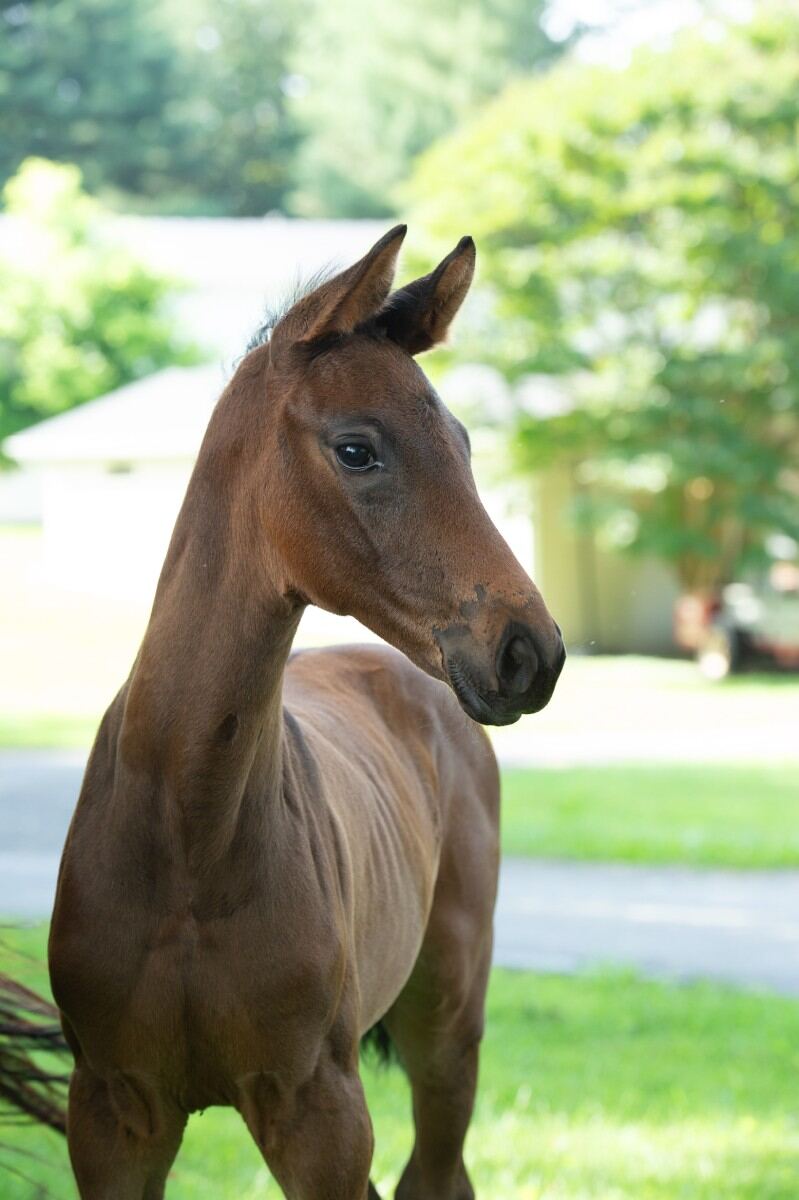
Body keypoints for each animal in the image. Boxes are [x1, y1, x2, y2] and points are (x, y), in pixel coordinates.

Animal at [48, 226, 559, 1200]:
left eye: (464, 442)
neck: (189, 836)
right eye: (357, 449)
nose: (529, 651)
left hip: (447, 1027)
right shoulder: (111, 1112)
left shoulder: (320, 1112)